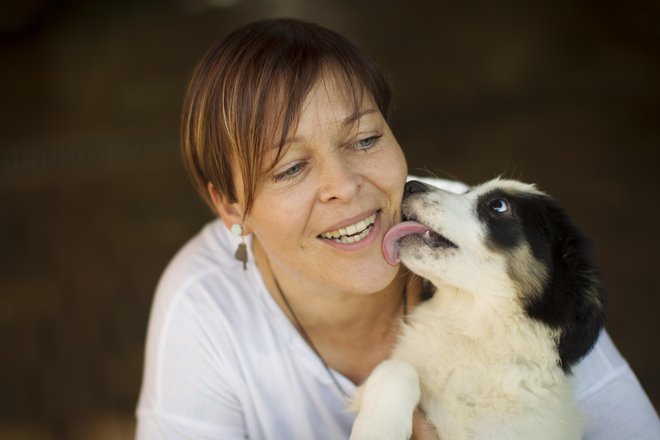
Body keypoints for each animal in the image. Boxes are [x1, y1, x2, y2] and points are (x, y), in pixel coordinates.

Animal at [350, 177, 608, 438]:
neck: (471, 333)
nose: (410, 185)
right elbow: (398, 368)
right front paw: (377, 429)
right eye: (467, 192)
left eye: (498, 205)